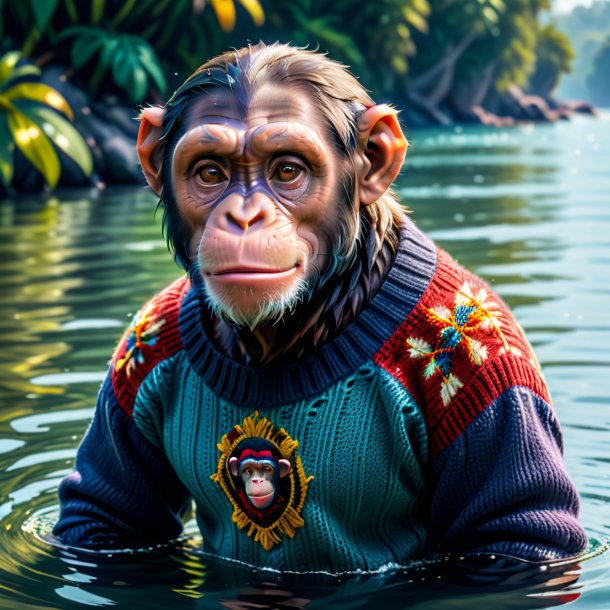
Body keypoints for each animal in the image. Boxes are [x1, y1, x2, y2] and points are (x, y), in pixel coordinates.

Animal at [54, 42, 588, 568]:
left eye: (287, 169)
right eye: (210, 172)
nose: (244, 217)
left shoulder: (486, 370)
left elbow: (512, 532)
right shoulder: (141, 348)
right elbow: (108, 514)